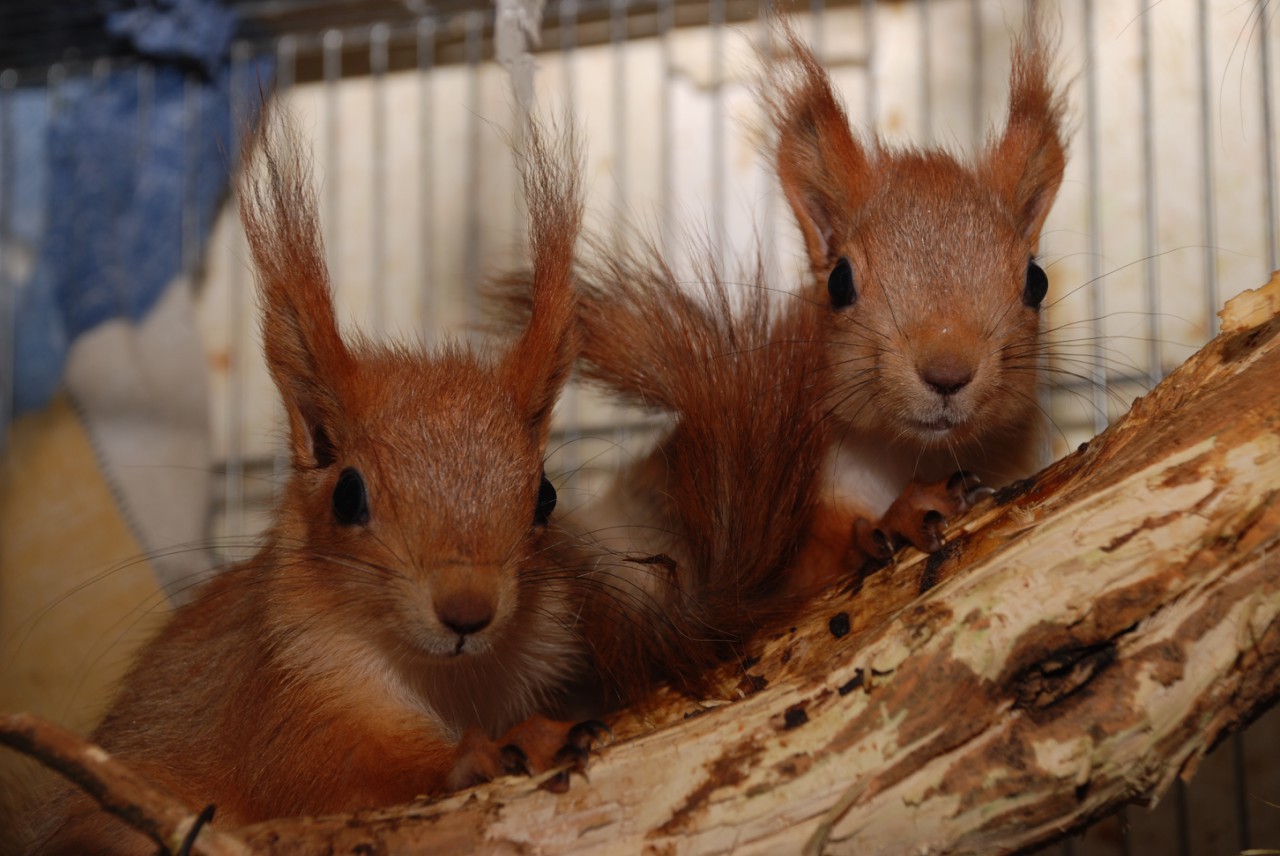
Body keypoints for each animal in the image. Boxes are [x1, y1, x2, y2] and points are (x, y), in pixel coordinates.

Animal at [24, 115, 604, 854]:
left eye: (545, 496)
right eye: (348, 495)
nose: (467, 611)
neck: (443, 676)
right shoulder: (288, 701)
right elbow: (340, 774)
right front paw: (493, 748)